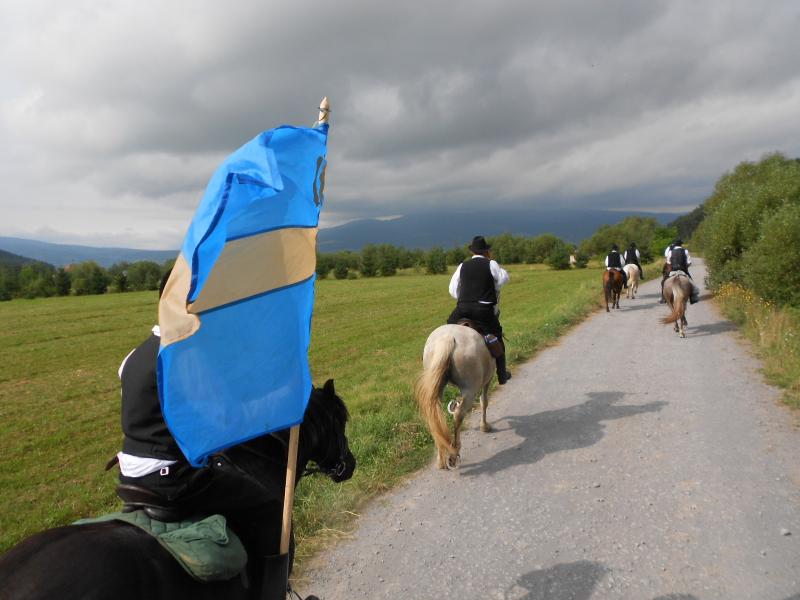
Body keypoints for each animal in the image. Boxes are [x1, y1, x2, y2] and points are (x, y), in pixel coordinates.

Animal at [416, 324, 496, 468]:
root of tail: (447, 338)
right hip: (470, 390)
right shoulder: (488, 380)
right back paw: (454, 453)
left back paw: (441, 459)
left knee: (435, 416)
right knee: (458, 414)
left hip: (437, 388)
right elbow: (484, 401)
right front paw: (484, 426)